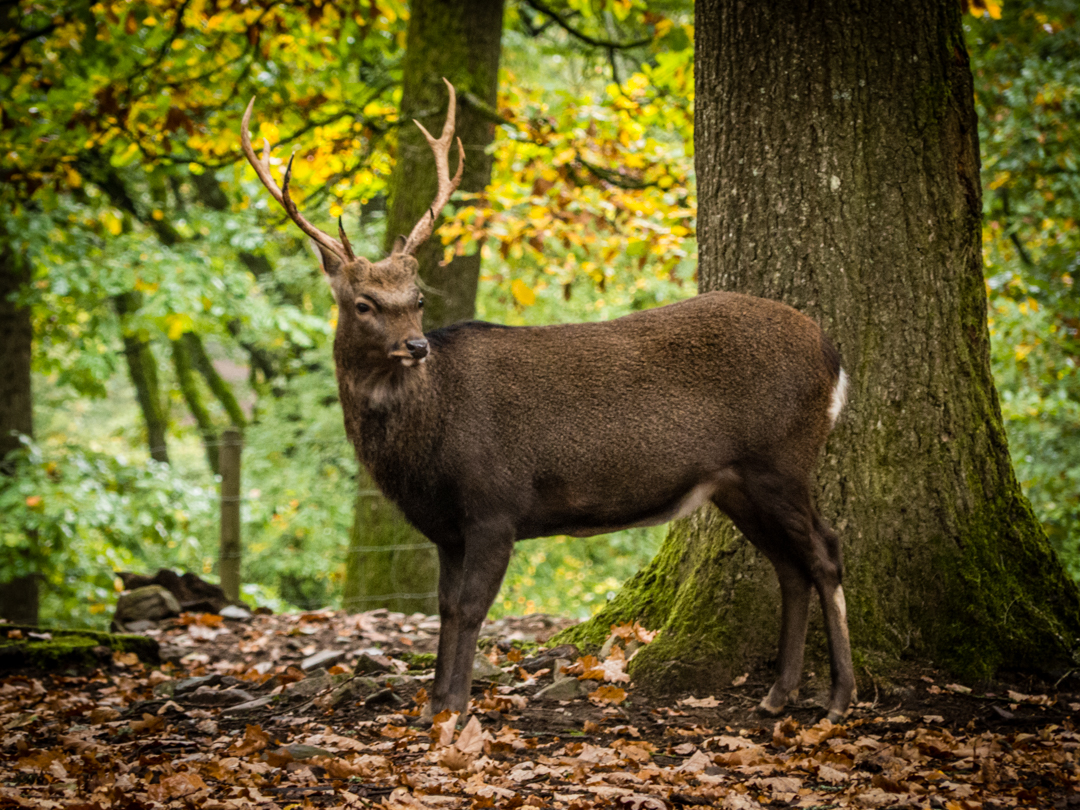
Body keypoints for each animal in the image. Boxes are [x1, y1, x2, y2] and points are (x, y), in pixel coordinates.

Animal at [240, 81, 855, 721]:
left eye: (415, 298)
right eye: (363, 303)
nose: (415, 346)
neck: (422, 456)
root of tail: (832, 355)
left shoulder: (495, 504)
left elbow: (470, 610)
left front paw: (455, 707)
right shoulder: (446, 528)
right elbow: (443, 609)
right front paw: (433, 705)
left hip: (782, 456)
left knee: (826, 552)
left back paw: (838, 698)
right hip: (737, 481)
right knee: (789, 566)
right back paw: (777, 695)